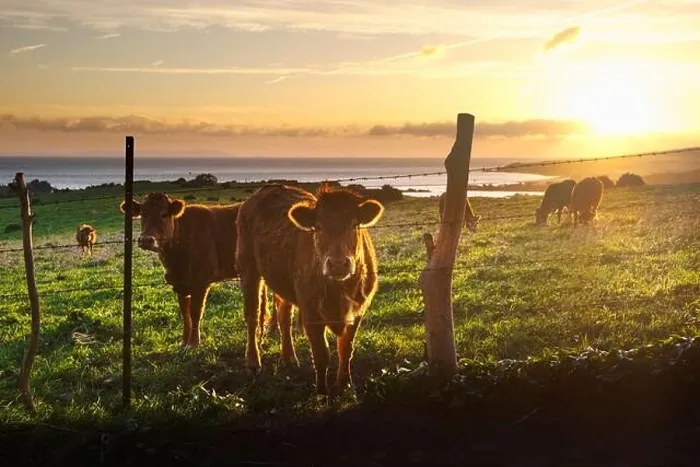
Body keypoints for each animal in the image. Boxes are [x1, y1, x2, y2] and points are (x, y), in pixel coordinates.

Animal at [119, 193, 284, 348]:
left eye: (164, 214)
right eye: (142, 214)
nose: (146, 240)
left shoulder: (200, 281)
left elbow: (195, 312)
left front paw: (193, 343)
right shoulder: (179, 283)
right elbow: (185, 313)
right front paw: (183, 342)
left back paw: (273, 328)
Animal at [235, 183, 384, 395]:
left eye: (354, 224)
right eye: (318, 227)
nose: (337, 265)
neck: (338, 289)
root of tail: (267, 188)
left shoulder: (357, 311)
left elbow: (345, 348)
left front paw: (344, 383)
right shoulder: (311, 312)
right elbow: (321, 354)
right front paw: (321, 390)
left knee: (284, 317)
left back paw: (289, 358)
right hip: (248, 270)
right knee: (253, 316)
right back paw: (253, 362)